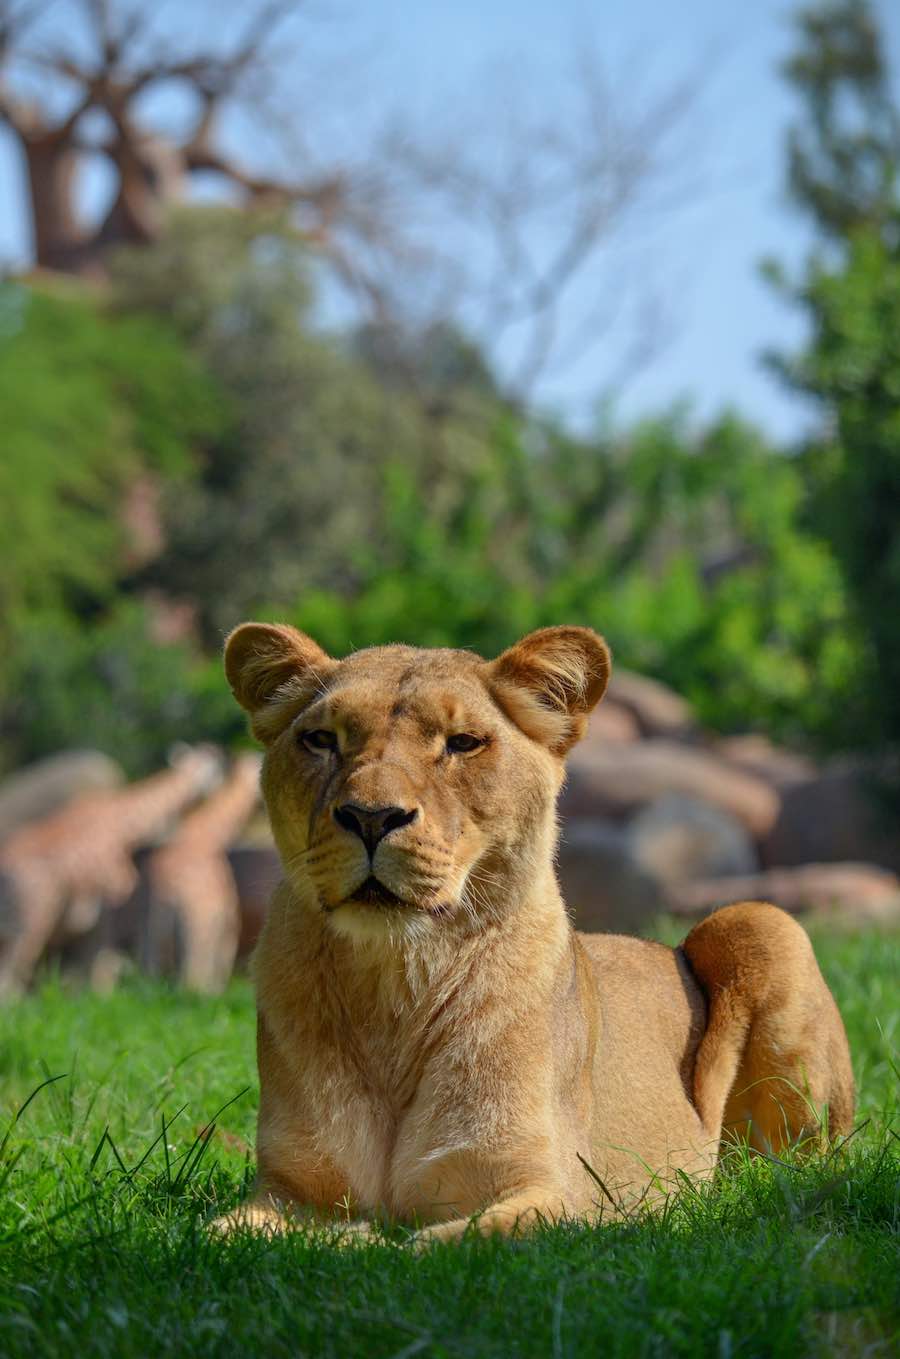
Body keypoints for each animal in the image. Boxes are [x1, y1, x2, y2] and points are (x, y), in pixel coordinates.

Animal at [0, 750, 221, 994]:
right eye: (212, 770)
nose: (218, 783)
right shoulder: (103, 903)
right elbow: (94, 967)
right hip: (29, 922)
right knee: (12, 975)